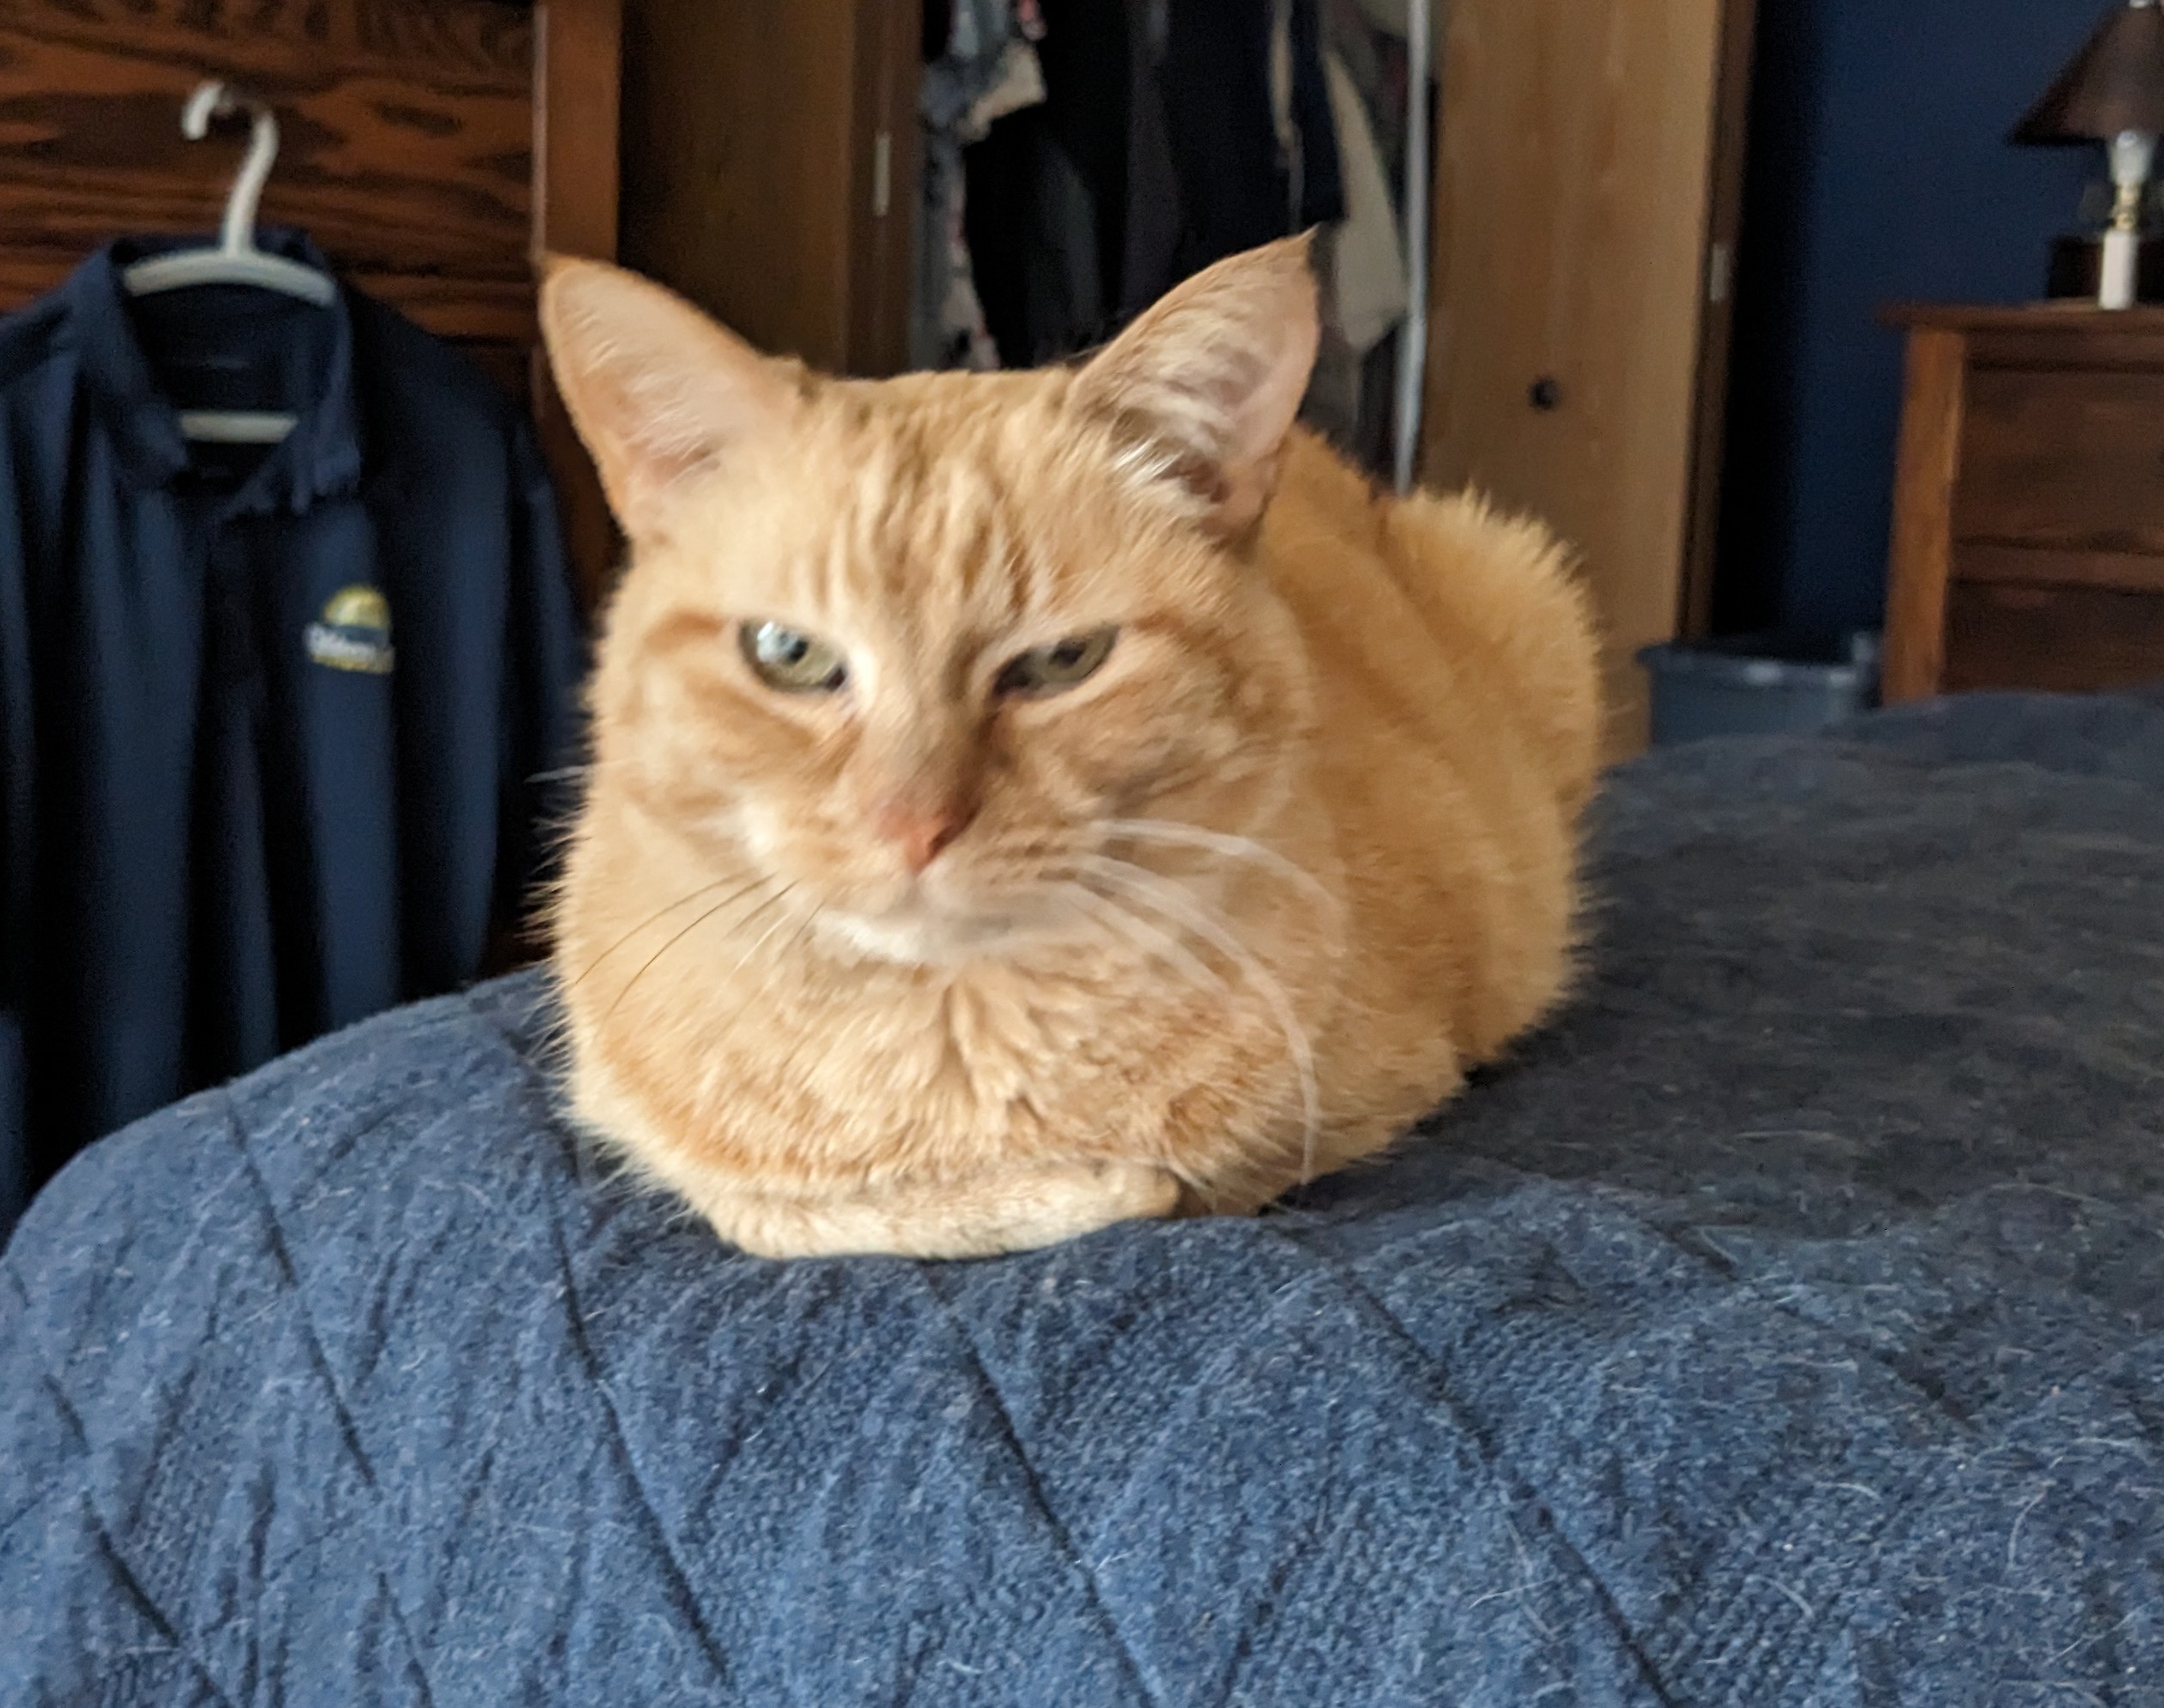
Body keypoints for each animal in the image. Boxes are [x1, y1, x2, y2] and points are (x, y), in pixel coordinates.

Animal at [534, 237, 1601, 1255]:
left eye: (1061, 661)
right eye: (790, 655)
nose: (913, 825)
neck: (946, 1047)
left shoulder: (1393, 1091)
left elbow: (1158, 1187)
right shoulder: (644, 1121)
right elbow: (778, 1206)